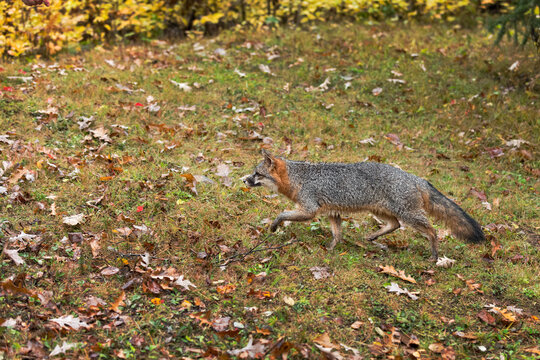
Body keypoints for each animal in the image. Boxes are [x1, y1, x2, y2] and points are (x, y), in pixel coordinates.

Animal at [244, 150, 486, 260]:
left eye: (257, 174)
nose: (244, 180)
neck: (300, 178)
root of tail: (416, 178)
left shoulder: (309, 210)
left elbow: (282, 213)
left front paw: (274, 226)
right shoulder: (333, 212)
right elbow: (337, 234)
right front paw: (331, 249)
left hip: (409, 215)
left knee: (432, 231)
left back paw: (434, 256)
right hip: (382, 211)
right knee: (395, 225)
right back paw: (371, 238)